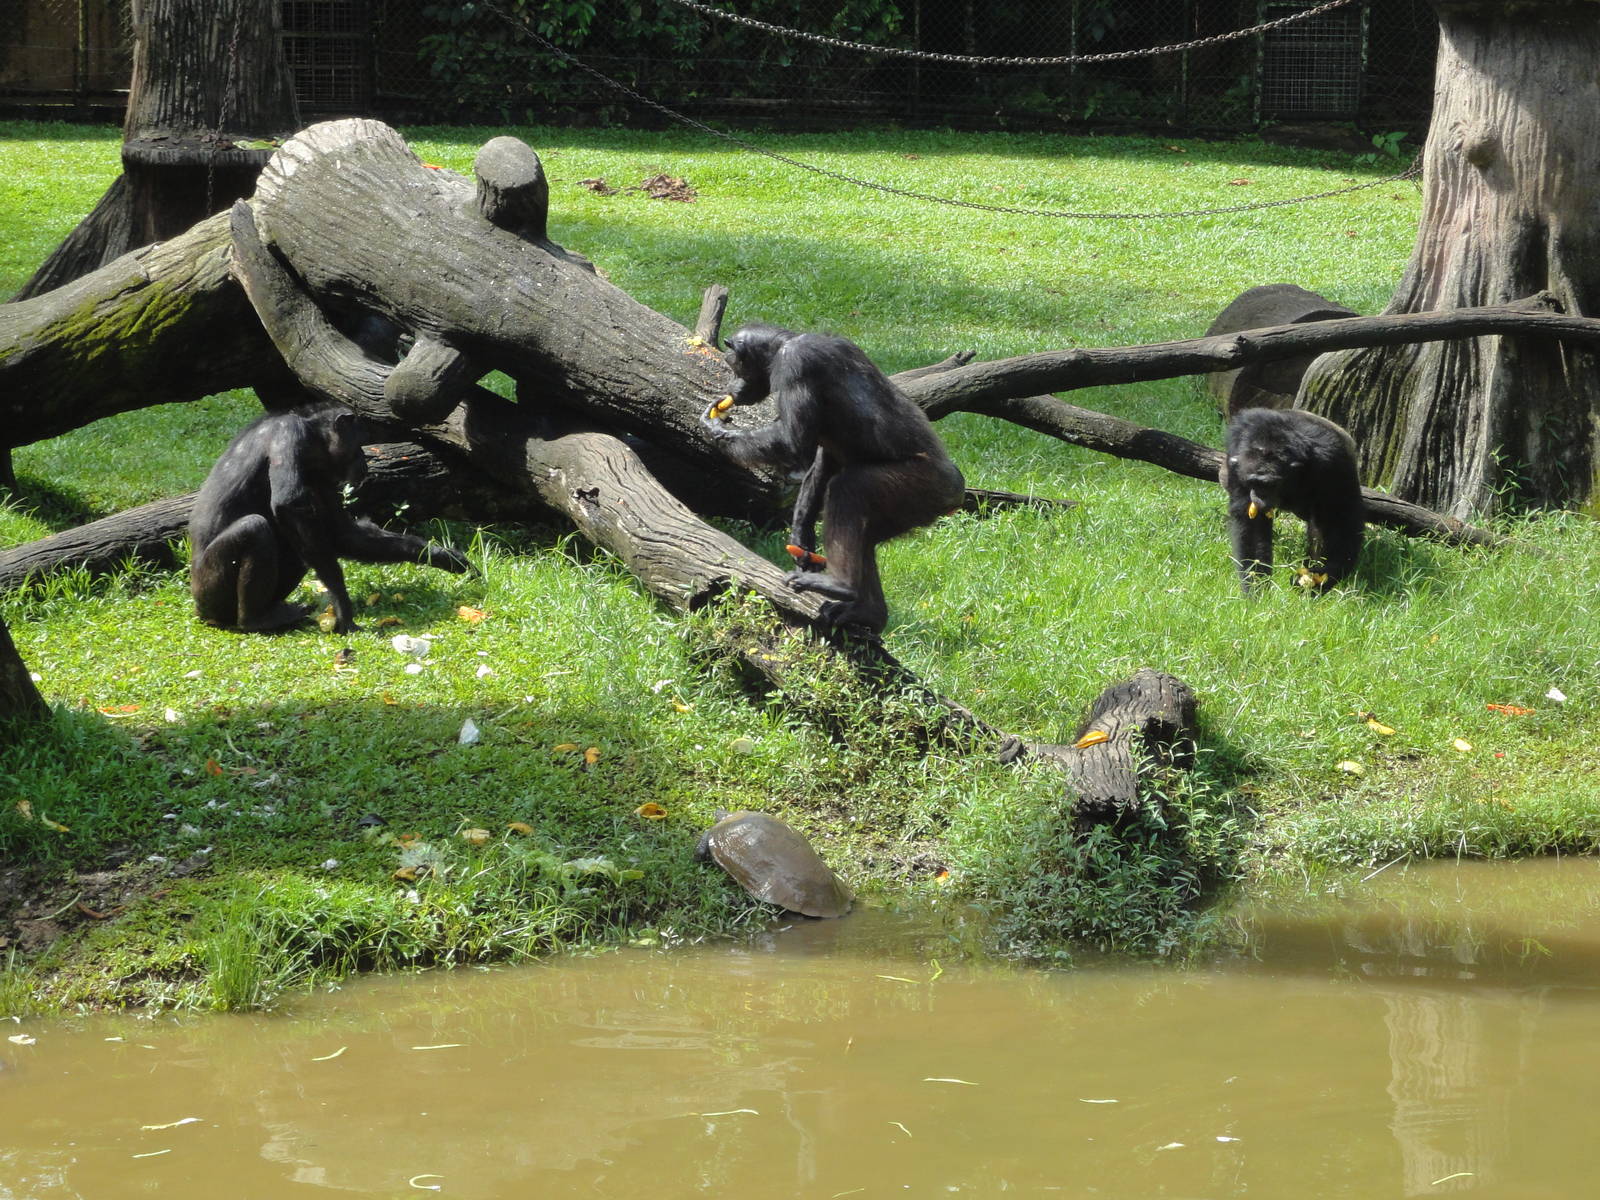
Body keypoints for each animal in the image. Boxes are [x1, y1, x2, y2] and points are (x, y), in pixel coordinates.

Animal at [189, 404, 471, 633]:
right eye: (360, 441)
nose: (364, 460)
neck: (314, 436)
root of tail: (199, 609)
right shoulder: (289, 432)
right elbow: (289, 504)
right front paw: (343, 608)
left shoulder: (323, 477)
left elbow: (343, 533)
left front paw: (443, 555)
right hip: (210, 589)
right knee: (254, 528)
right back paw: (256, 620)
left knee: (296, 549)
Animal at [702, 322, 965, 634]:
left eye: (734, 367)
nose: (731, 387)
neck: (780, 348)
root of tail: (956, 493)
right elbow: (823, 463)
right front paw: (801, 539)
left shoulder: (796, 364)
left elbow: (792, 441)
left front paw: (716, 429)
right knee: (865, 536)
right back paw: (868, 613)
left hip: (922, 486)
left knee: (850, 488)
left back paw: (840, 586)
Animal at [1222, 407, 1364, 595]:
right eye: (1254, 483)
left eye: (1270, 484)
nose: (1259, 497)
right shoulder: (1237, 464)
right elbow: (1252, 527)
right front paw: (1257, 588)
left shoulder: (1334, 462)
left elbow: (1341, 522)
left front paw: (1323, 576)